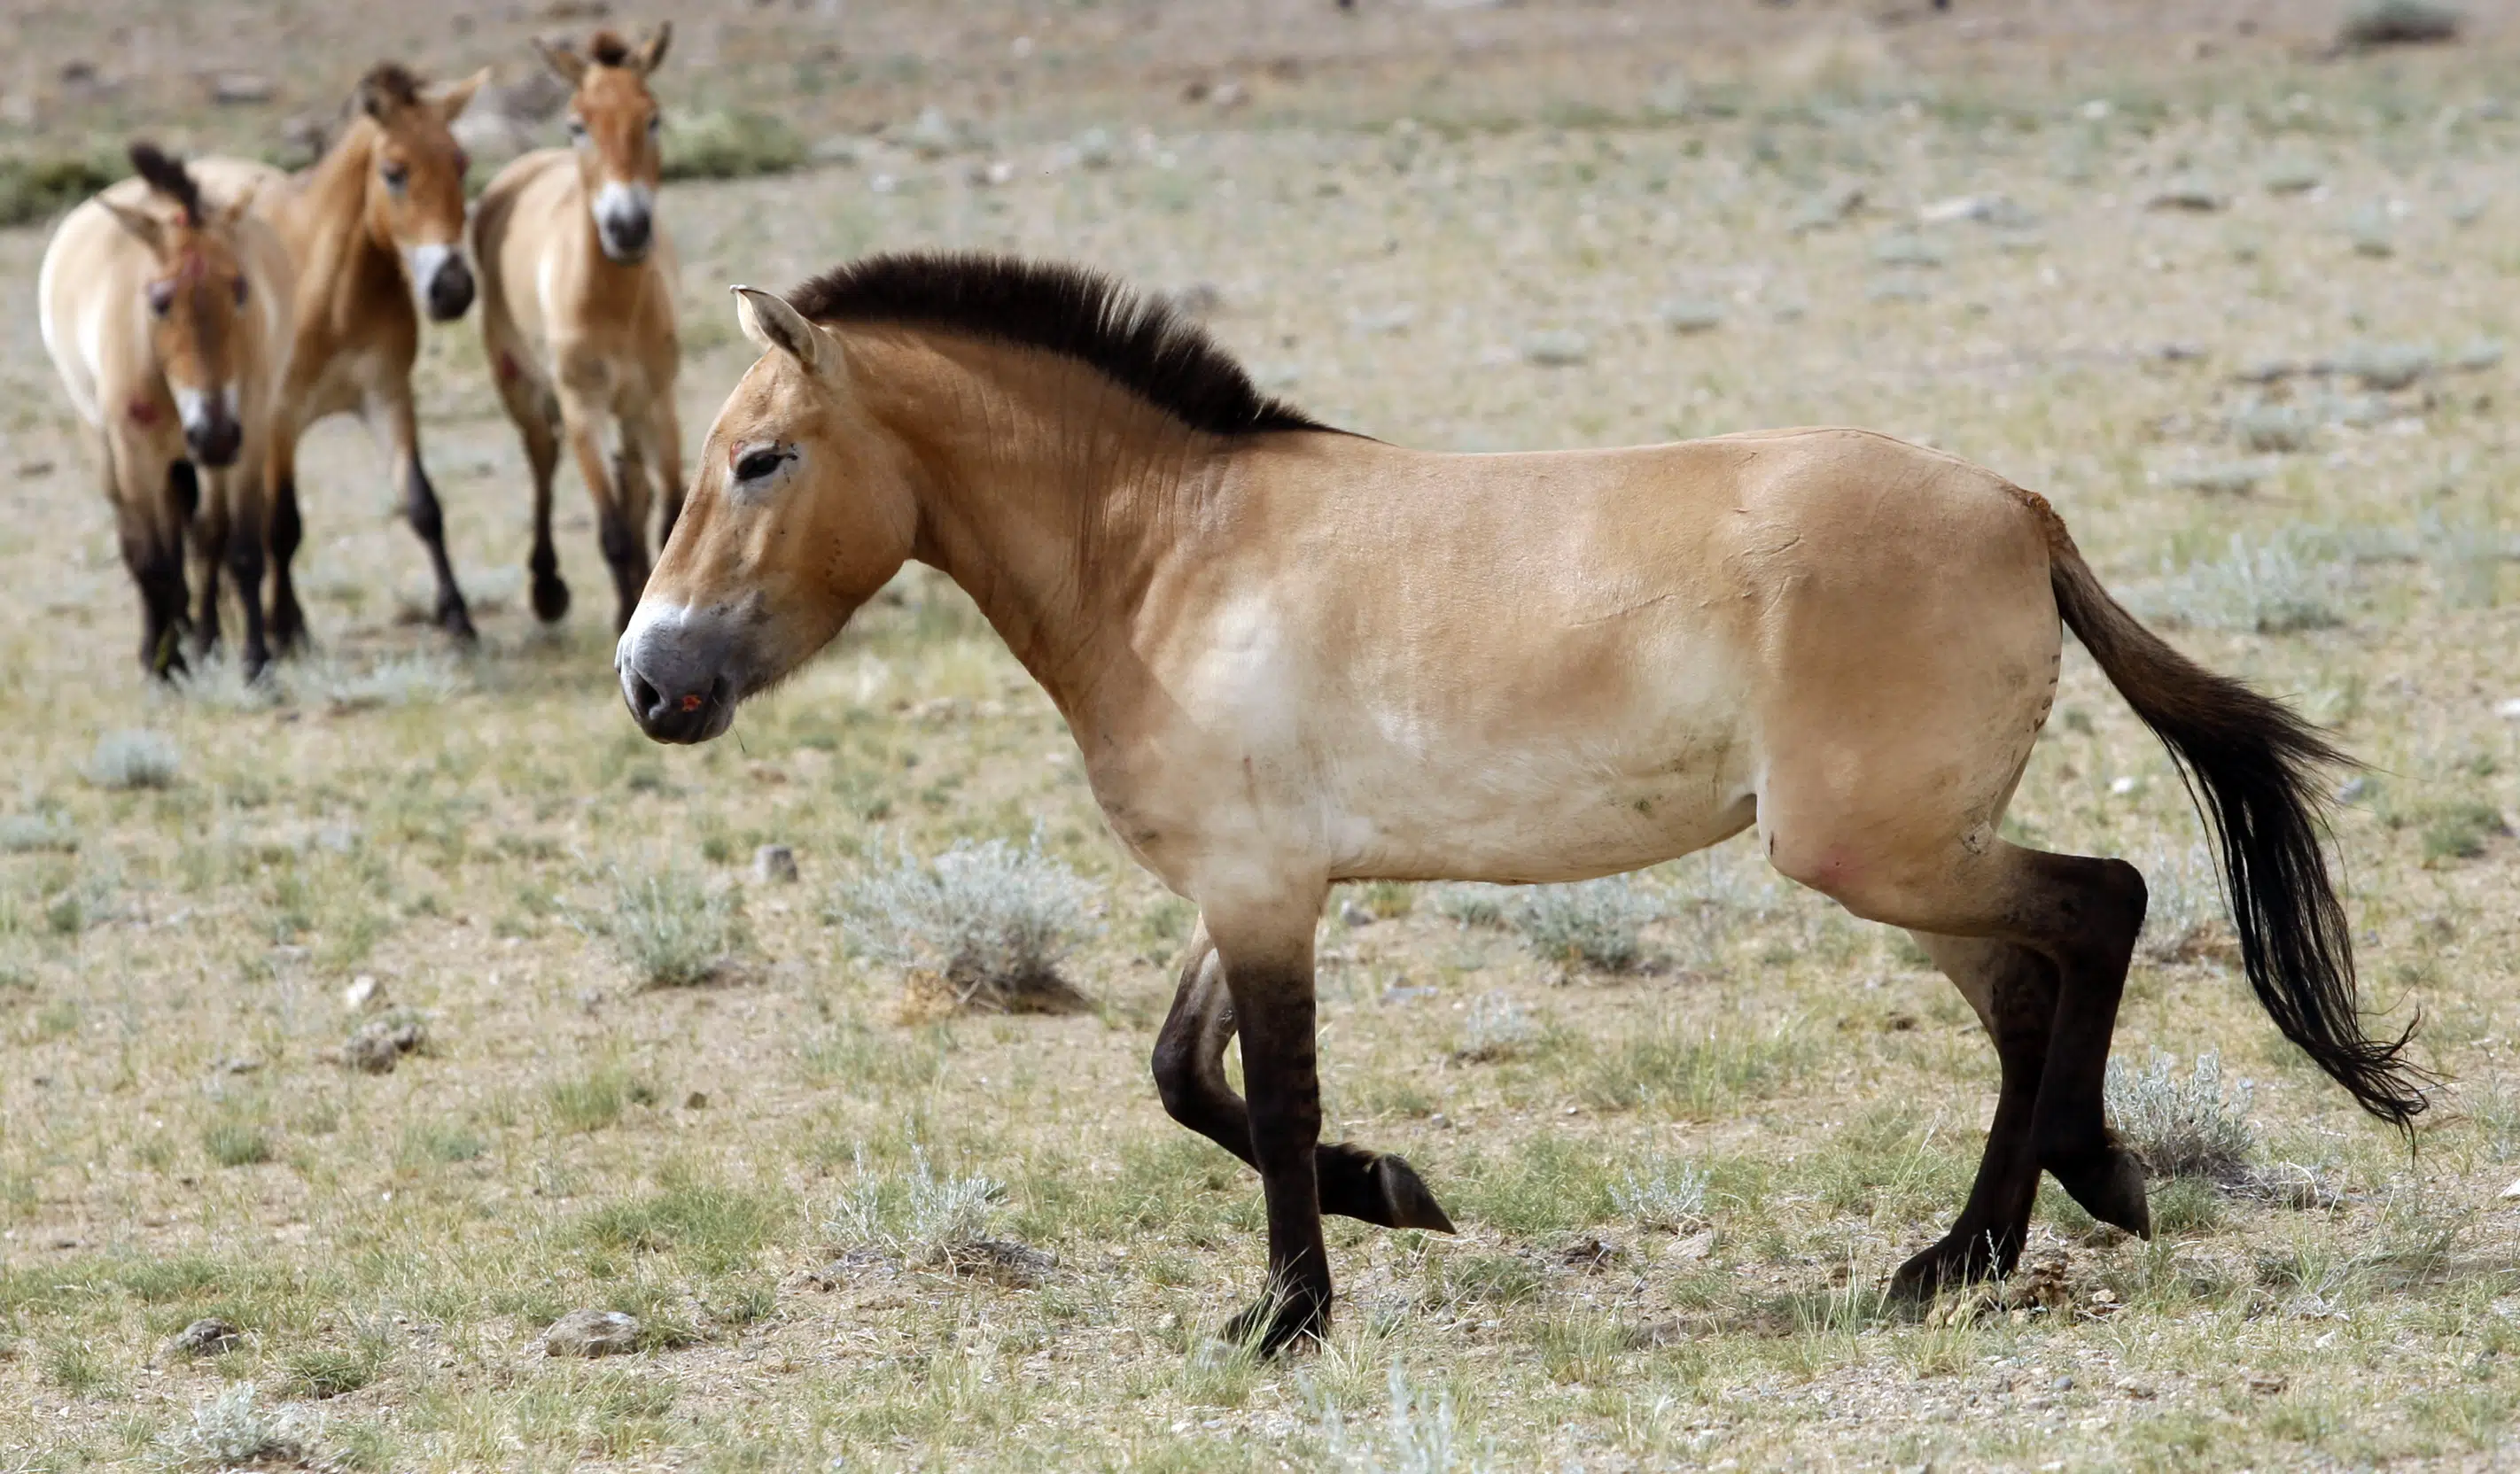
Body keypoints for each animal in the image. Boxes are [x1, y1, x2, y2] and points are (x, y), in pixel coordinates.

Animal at [40, 139, 294, 680]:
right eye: (158, 302)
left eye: (241, 290)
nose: (213, 433)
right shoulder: (137, 452)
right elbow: (153, 561)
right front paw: (164, 666)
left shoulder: (248, 440)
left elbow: (241, 551)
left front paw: (255, 664)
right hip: (108, 448)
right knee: (145, 545)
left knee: (203, 537)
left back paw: (204, 639)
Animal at [189, 61, 488, 649]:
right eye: (394, 172)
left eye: (461, 163)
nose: (452, 289)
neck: (333, 294)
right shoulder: (280, 417)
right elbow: (282, 526)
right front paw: (286, 628)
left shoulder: (387, 398)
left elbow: (422, 504)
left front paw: (457, 616)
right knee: (212, 528)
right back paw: (212, 630)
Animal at [473, 21, 685, 632]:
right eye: (577, 124)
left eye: (652, 117)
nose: (627, 227)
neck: (610, 304)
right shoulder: (581, 407)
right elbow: (612, 528)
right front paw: (625, 616)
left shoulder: (656, 400)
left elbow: (668, 510)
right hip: (521, 385)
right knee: (543, 462)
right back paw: (548, 589)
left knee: (633, 482)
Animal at [604, 258, 2419, 1350]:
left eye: (758, 458)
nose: (648, 679)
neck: (1168, 555)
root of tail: (2016, 506)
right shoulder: (1257, 882)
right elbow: (1186, 1078)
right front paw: (1397, 1193)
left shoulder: (1263, 892)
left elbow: (1265, 1102)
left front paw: (1287, 1317)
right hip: (1911, 864)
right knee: (2032, 989)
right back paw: (2000, 1234)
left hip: (1871, 850)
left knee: (2102, 904)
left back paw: (2036, 1212)